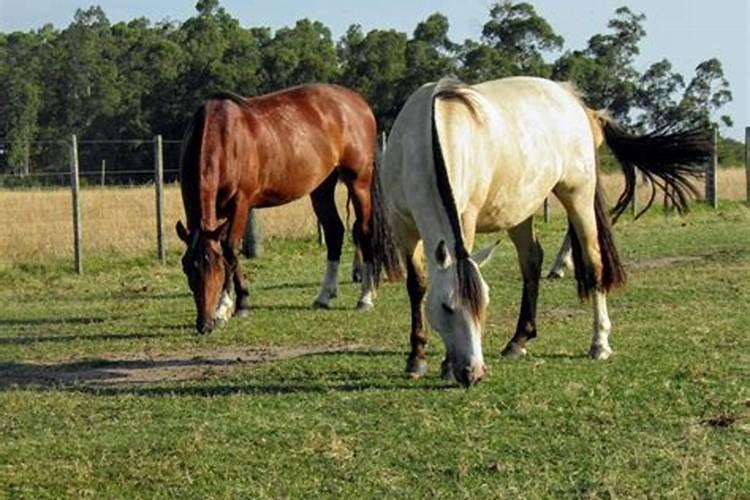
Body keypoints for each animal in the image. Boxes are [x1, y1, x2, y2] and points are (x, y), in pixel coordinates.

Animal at [177, 84, 402, 334]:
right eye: (186, 268)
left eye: (216, 268)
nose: (204, 324)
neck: (224, 138)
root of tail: (358, 102)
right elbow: (230, 251)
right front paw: (239, 301)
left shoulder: (241, 204)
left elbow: (230, 250)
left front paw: (226, 307)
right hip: (322, 186)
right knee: (334, 231)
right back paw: (324, 296)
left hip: (358, 181)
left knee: (363, 231)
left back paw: (365, 297)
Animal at [384, 75, 712, 386]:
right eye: (447, 307)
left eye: (484, 305)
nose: (474, 373)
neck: (429, 135)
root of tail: (575, 101)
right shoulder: (402, 226)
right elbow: (417, 285)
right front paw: (417, 358)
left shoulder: (465, 218)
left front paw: (444, 366)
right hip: (520, 210)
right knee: (531, 261)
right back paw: (519, 340)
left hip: (578, 196)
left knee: (593, 263)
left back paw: (599, 344)